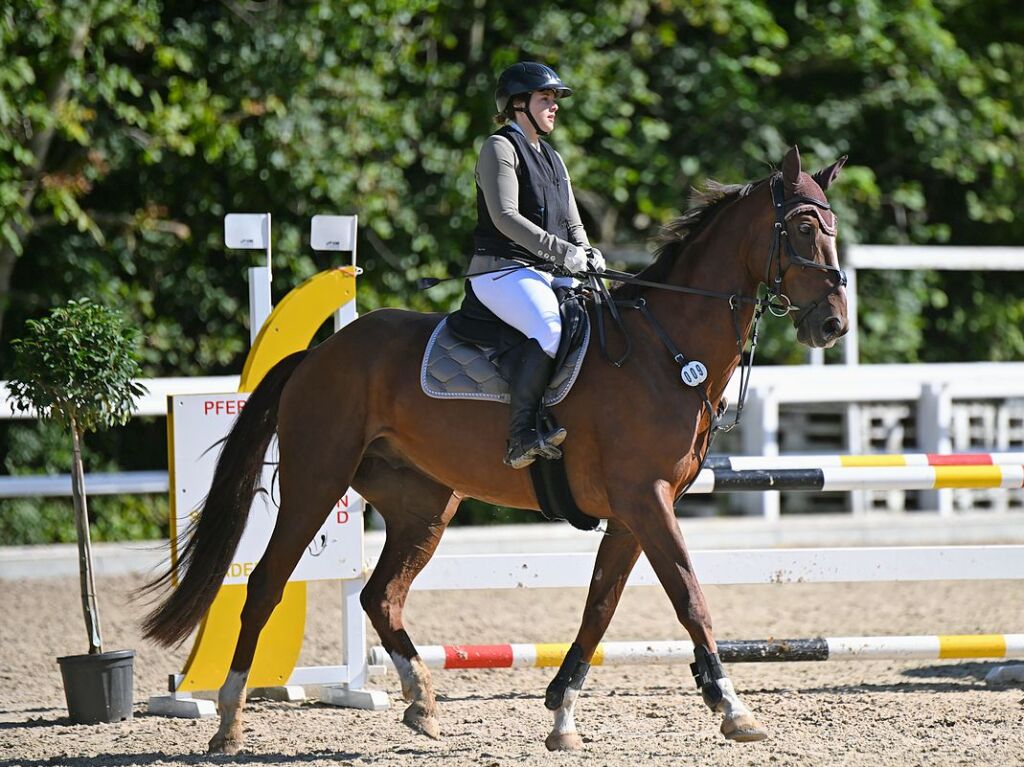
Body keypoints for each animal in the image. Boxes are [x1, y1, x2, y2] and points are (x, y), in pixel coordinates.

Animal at [142, 145, 847, 753]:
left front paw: (562, 715)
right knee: (265, 585)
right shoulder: (646, 502)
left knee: (380, 596)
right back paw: (229, 724)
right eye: (804, 225)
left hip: (425, 504)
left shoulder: (633, 513)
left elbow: (599, 610)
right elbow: (690, 598)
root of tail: (319, 355)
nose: (832, 322)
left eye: (833, 225)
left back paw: (422, 705)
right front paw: (734, 709)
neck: (665, 349)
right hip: (317, 481)